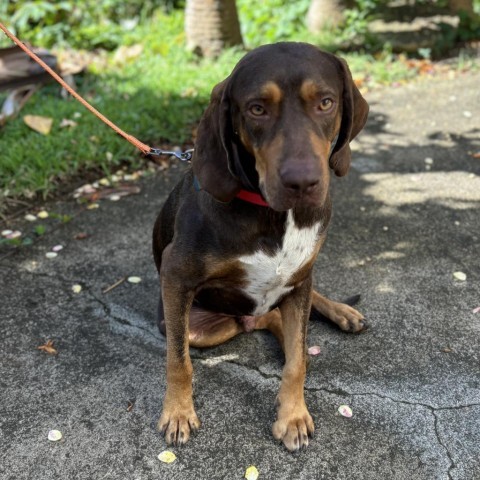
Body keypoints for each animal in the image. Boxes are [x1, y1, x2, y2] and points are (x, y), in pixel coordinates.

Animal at [152, 41, 370, 450]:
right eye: (257, 108)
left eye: (326, 102)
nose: (302, 183)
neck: (272, 214)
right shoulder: (176, 276)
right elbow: (178, 360)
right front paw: (178, 412)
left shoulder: (300, 278)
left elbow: (298, 362)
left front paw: (293, 415)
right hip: (203, 327)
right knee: (265, 320)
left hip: (296, 284)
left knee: (292, 325)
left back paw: (340, 313)